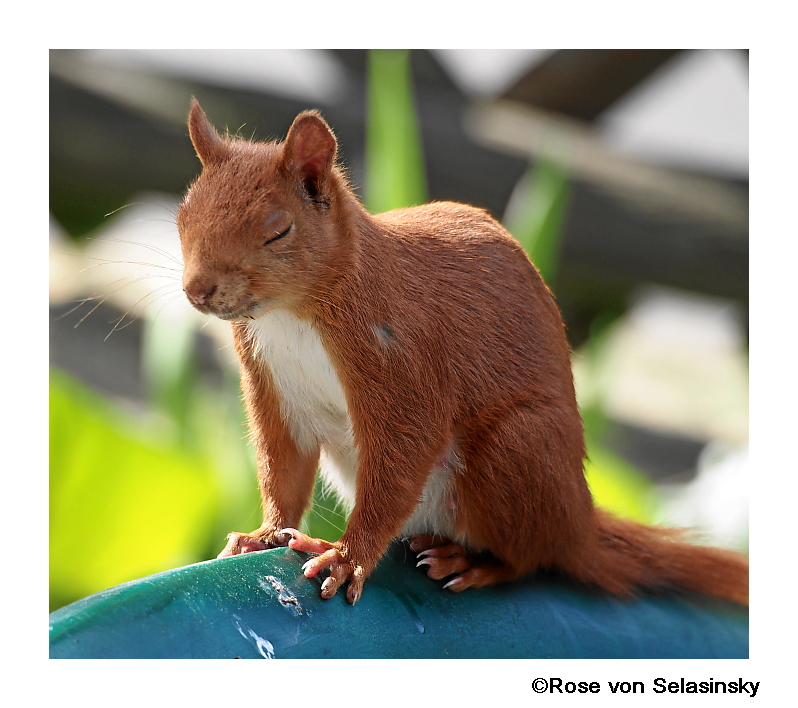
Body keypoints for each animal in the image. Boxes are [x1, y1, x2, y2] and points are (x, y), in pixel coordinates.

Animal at [177, 99, 752, 604]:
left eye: (279, 230)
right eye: (183, 218)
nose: (197, 290)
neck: (290, 316)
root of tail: (579, 523)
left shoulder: (401, 359)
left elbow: (401, 456)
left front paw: (346, 557)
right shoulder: (272, 383)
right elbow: (284, 466)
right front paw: (262, 535)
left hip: (516, 452)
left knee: (531, 559)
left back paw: (472, 562)